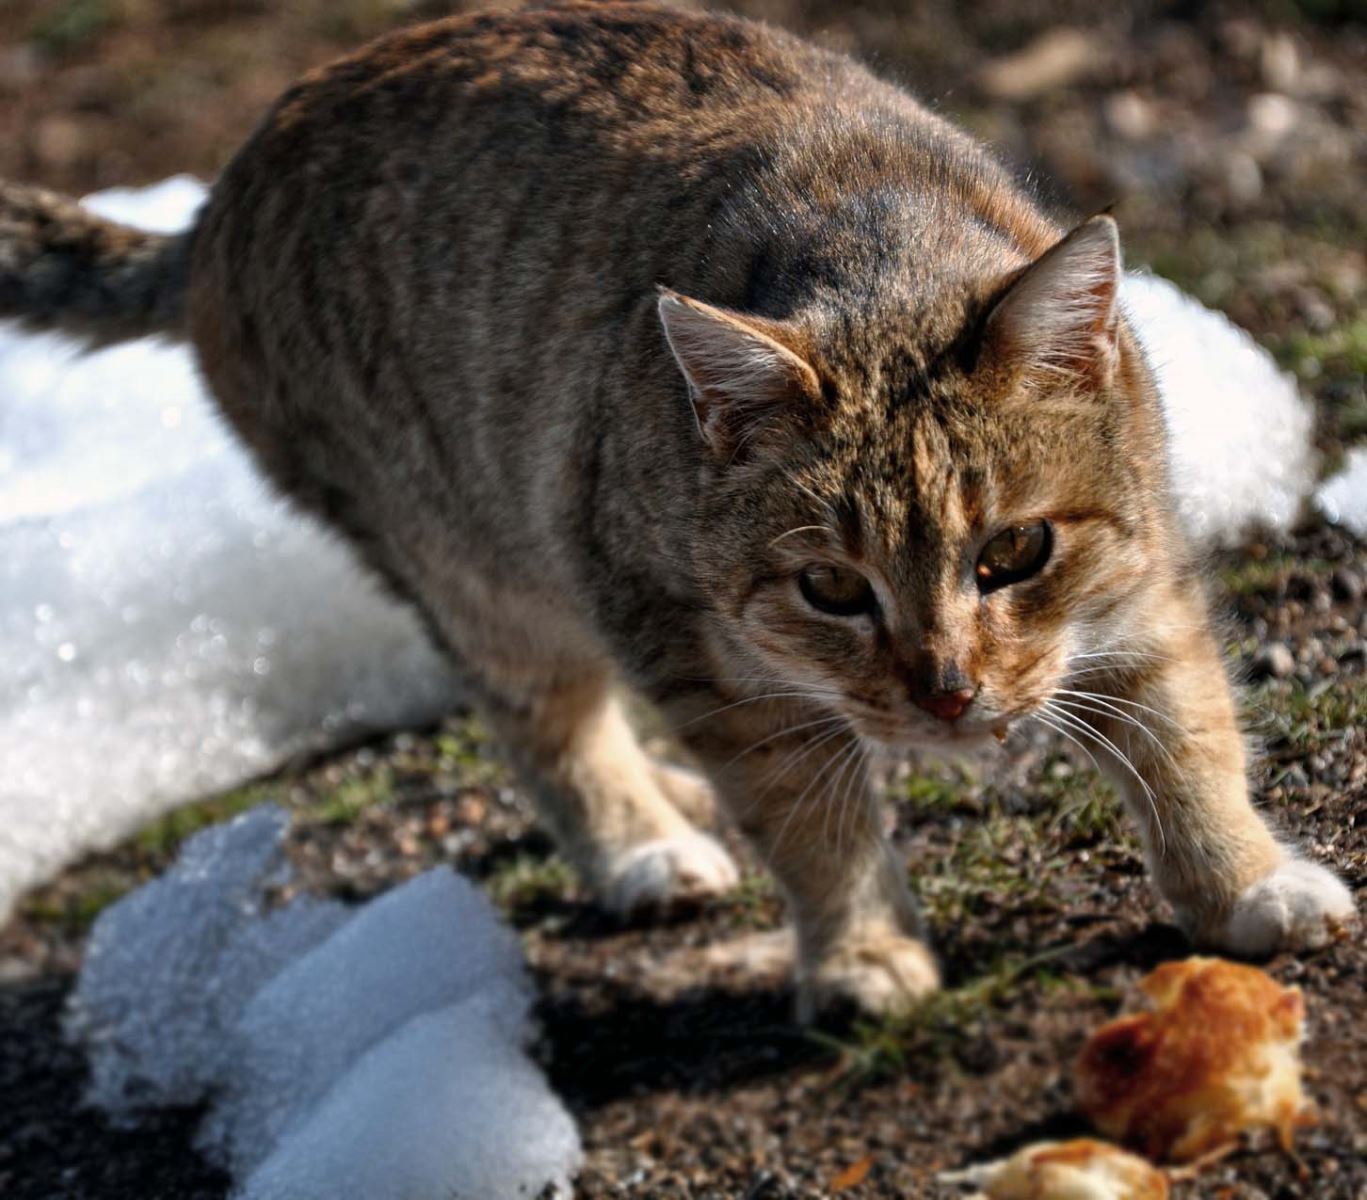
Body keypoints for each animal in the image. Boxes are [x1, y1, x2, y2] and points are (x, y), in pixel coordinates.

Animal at [0, 2, 1350, 1022]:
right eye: (830, 588)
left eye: (1013, 552)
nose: (945, 697)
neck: (878, 255)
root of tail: (218, 196)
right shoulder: (695, 649)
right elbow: (812, 822)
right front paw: (862, 953)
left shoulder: (1142, 580)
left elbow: (1184, 733)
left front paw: (1241, 883)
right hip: (473, 561)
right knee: (544, 723)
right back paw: (639, 841)